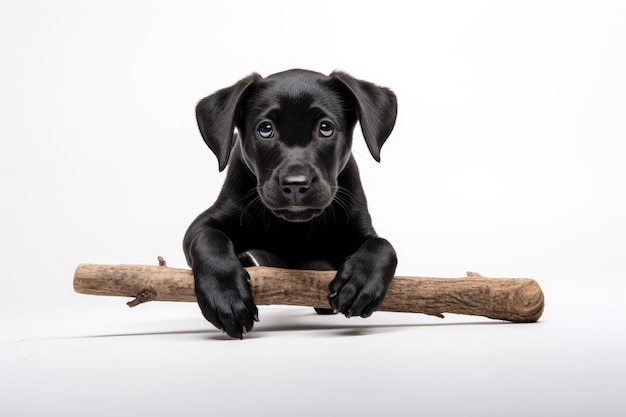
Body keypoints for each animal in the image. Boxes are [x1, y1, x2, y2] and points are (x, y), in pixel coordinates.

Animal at [182, 69, 394, 338]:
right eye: (265, 129)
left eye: (326, 128)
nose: (295, 184)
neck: (293, 227)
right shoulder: (205, 222)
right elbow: (209, 239)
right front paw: (226, 296)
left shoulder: (358, 227)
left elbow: (383, 245)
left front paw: (360, 283)